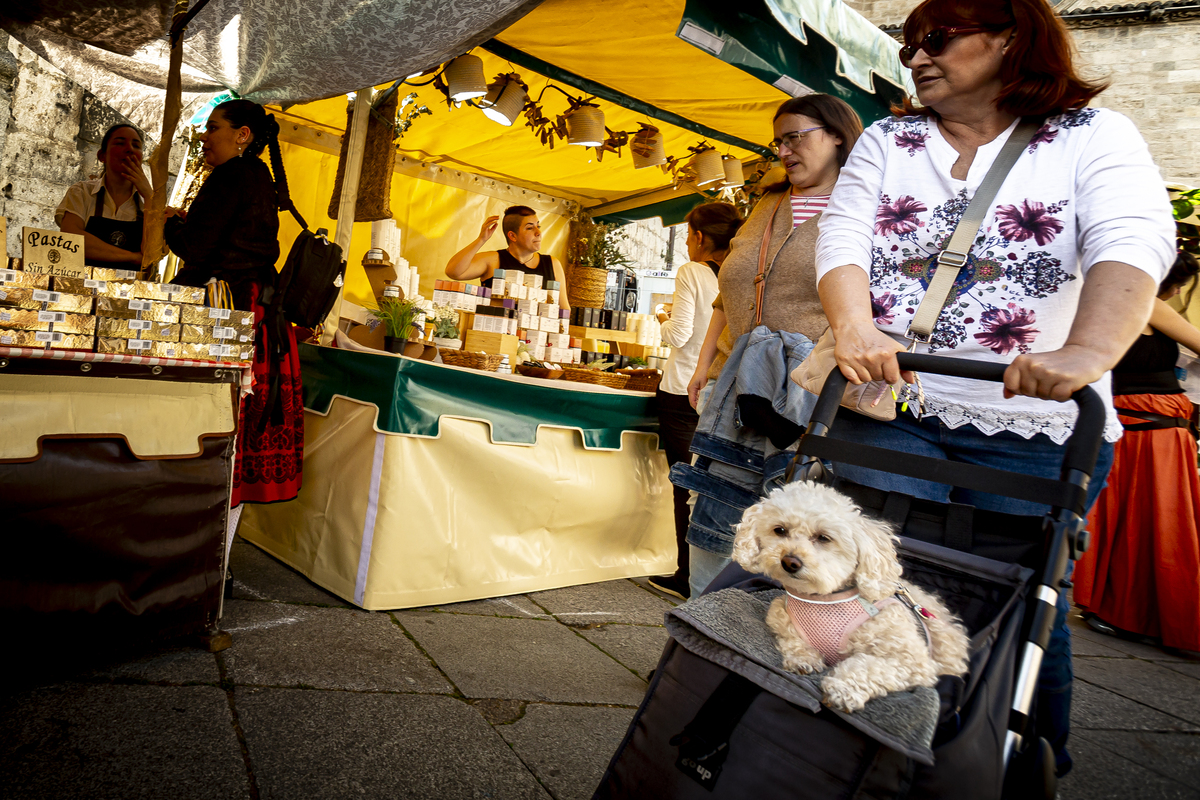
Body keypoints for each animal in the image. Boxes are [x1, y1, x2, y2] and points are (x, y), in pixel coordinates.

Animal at [729, 482, 974, 714]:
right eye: (780, 530)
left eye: (824, 538)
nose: (790, 561)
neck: (824, 599)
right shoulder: (781, 615)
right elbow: (792, 639)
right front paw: (804, 659)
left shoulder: (912, 660)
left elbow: (871, 667)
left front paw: (842, 689)